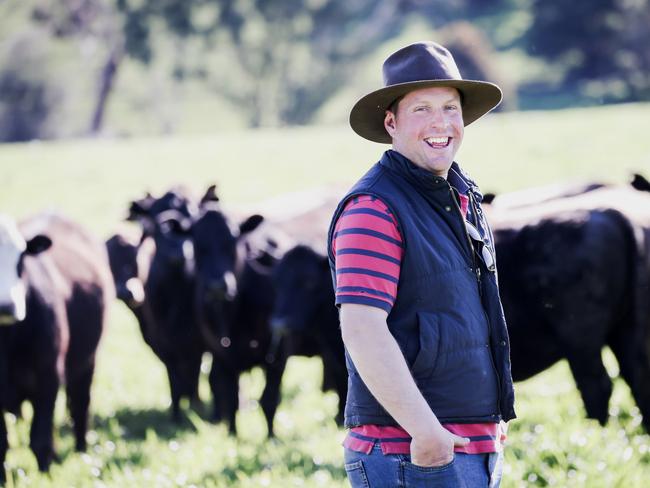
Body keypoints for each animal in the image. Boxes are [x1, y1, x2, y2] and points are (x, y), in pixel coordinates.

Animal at [0, 213, 112, 476]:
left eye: (20, 258)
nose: (6, 306)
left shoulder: (48, 378)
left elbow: (40, 439)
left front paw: (46, 476)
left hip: (87, 362)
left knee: (80, 404)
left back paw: (81, 449)